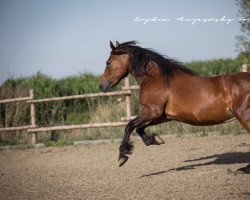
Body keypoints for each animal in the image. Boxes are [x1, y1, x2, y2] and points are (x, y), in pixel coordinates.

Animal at [99, 41, 250, 172]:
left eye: (108, 62)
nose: (102, 86)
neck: (156, 79)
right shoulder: (163, 116)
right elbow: (139, 127)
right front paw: (155, 140)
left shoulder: (152, 110)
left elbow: (129, 126)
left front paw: (122, 157)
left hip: (243, 116)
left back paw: (244, 169)